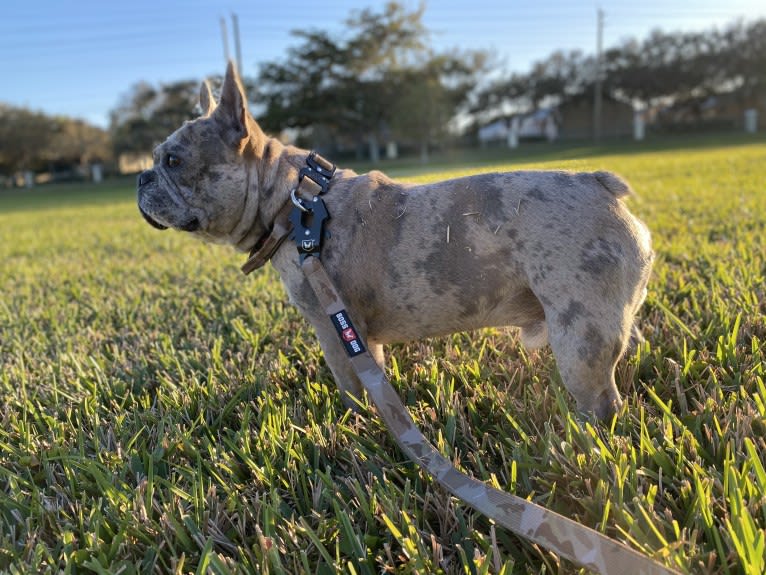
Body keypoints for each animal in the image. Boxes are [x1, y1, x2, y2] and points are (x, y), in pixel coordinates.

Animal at [136, 63, 656, 420]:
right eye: (156, 159)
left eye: (174, 161)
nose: (141, 177)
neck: (294, 203)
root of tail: (599, 184)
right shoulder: (359, 335)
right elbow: (375, 377)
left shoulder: (335, 328)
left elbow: (351, 387)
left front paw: (353, 426)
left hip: (579, 333)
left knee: (603, 401)